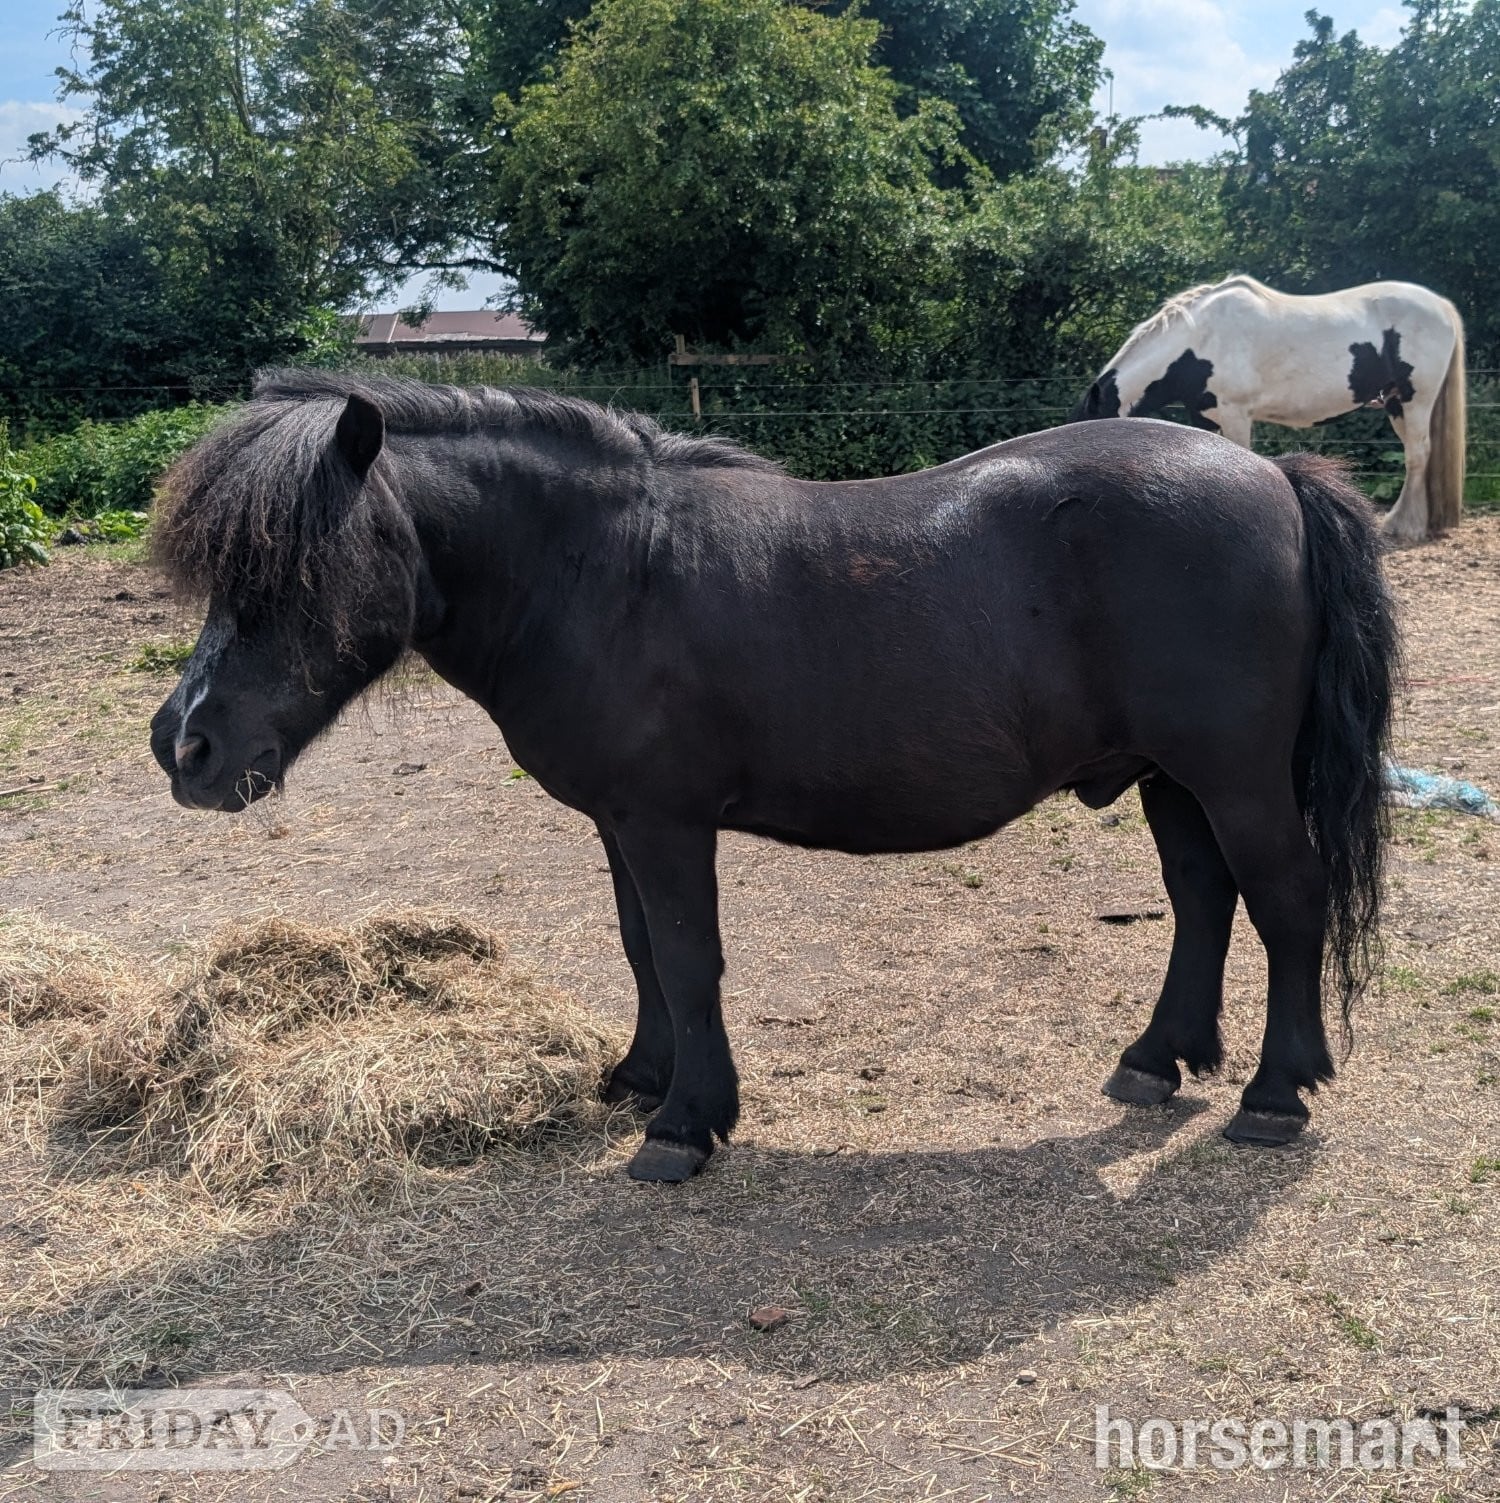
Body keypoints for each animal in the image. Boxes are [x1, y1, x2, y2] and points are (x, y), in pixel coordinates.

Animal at [148, 372, 1398, 1183]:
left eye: (297, 567)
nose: (185, 747)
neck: (601, 573)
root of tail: (1272, 474)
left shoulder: (665, 822)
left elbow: (689, 956)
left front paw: (687, 1124)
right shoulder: (618, 822)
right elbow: (640, 948)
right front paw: (641, 1078)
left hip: (1233, 776)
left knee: (1286, 902)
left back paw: (1274, 1094)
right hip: (1167, 777)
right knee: (1203, 899)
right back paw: (1157, 1060)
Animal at [1070, 276, 1466, 543]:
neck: (1198, 343)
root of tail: (1441, 306)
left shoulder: (1235, 415)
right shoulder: (1203, 417)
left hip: (1415, 399)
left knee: (1418, 455)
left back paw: (1404, 526)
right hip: (1396, 402)